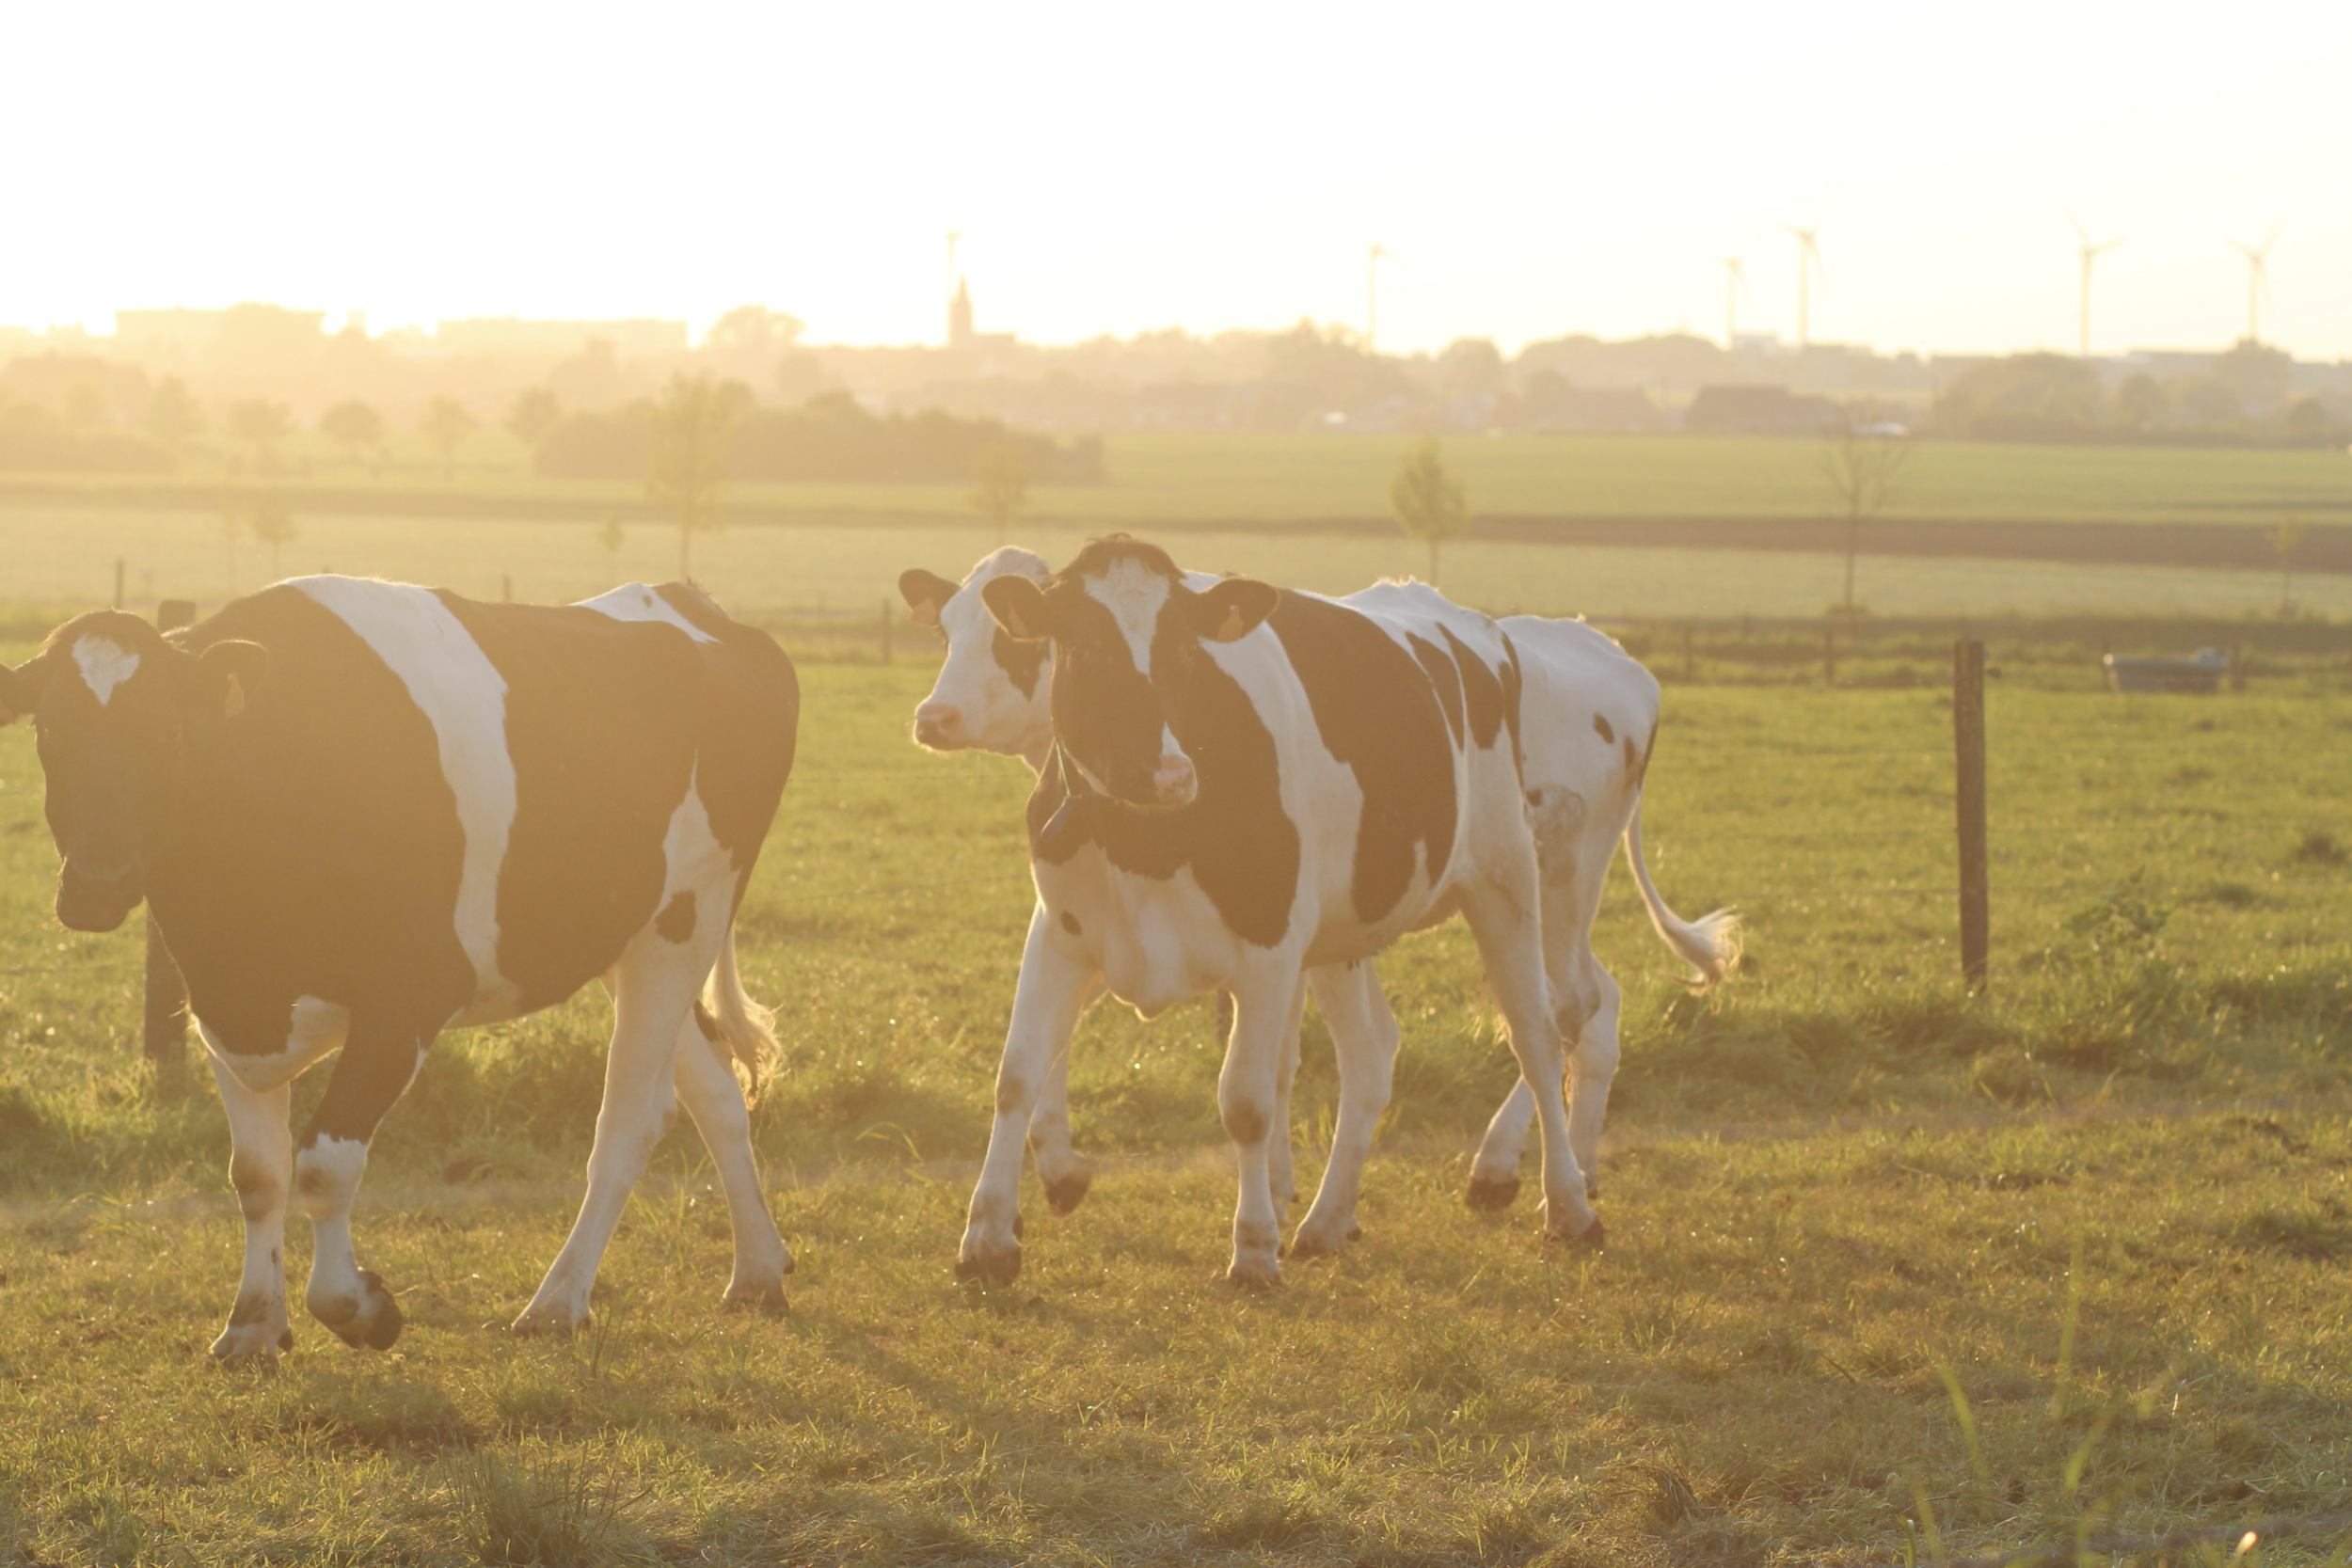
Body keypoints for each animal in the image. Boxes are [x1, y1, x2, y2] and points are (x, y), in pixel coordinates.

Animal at [0, 580, 800, 1363]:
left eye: (167, 734)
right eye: (50, 734)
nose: (97, 886)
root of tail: (690, 601)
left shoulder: (409, 997)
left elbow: (323, 1163)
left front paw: (358, 1307)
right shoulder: (225, 1011)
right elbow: (257, 1173)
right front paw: (253, 1324)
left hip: (686, 917)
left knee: (633, 1114)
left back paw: (558, 1300)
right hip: (628, 935)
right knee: (715, 1092)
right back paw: (759, 1271)